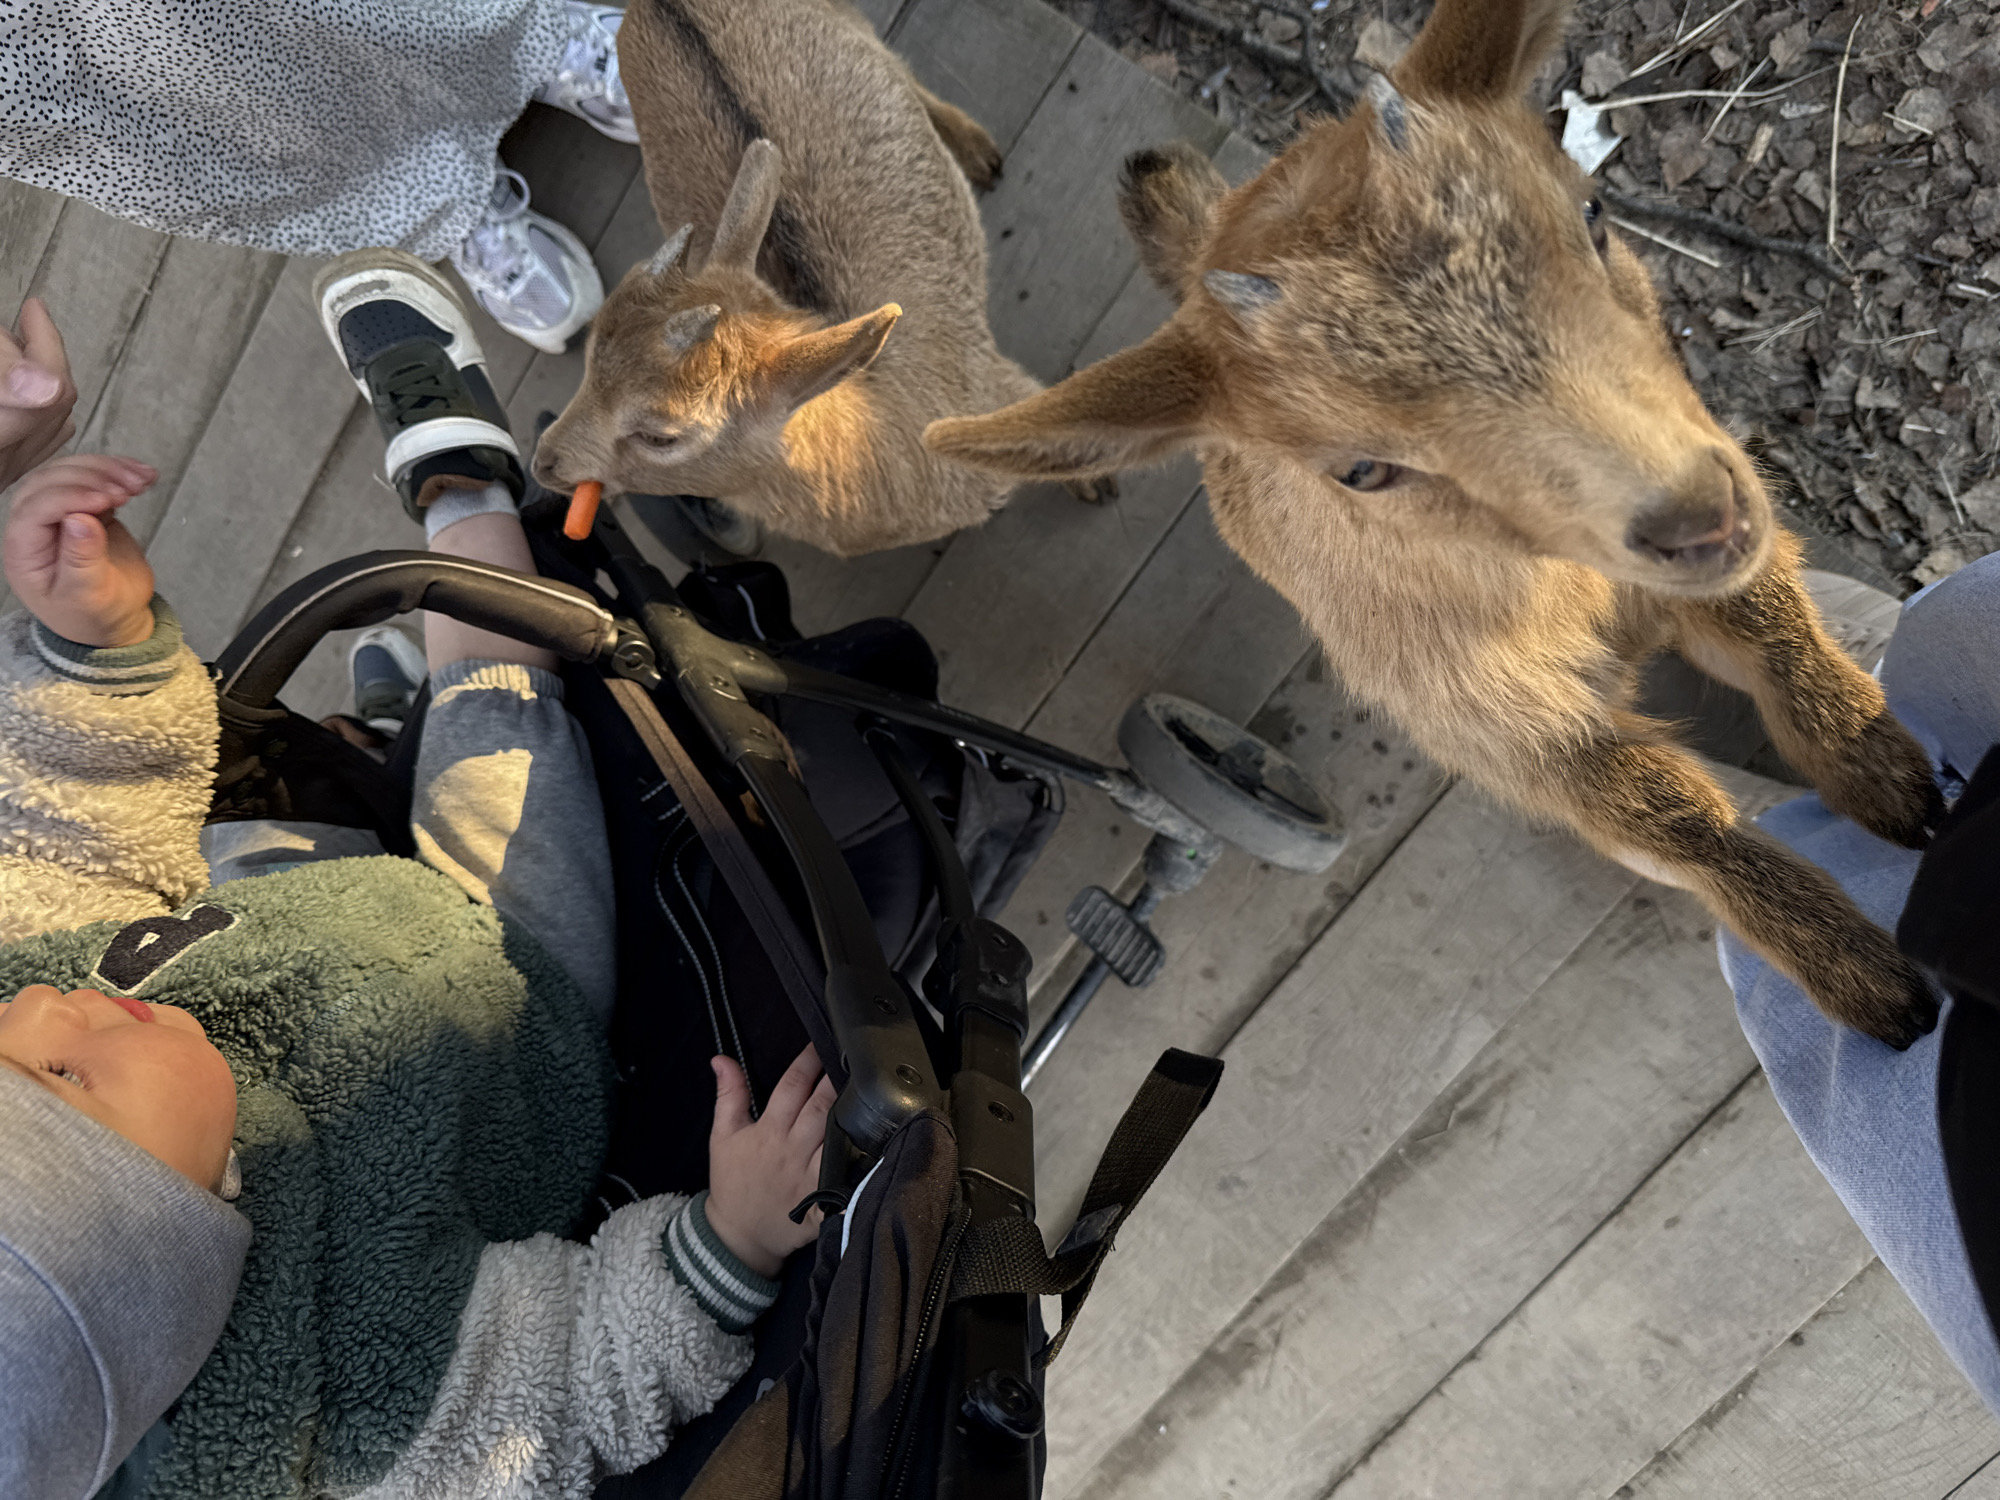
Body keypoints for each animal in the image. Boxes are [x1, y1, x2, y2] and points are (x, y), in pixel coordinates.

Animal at [925, 0, 1946, 1047]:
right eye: (1361, 469)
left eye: (1594, 216)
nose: (1698, 519)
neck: (1554, 588)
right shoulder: (1496, 726)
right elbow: (1671, 813)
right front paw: (1865, 980)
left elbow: (1774, 627)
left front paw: (1881, 768)